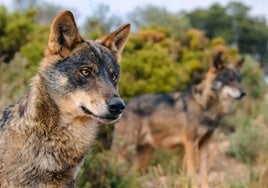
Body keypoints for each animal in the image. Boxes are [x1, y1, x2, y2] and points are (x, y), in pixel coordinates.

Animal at [112, 52, 246, 187]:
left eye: (239, 80)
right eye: (229, 80)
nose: (243, 93)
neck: (204, 106)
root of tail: (124, 106)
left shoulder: (204, 144)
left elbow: (204, 173)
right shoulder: (190, 143)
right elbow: (192, 172)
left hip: (142, 157)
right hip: (126, 152)